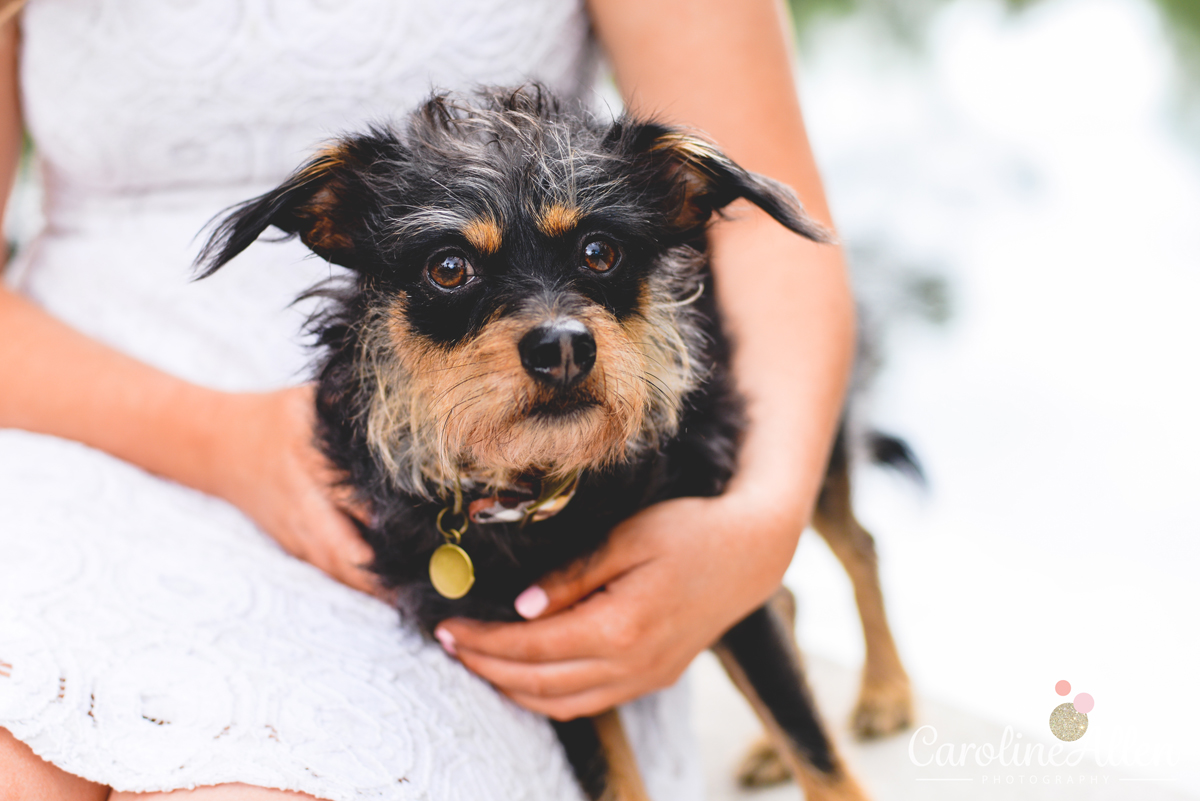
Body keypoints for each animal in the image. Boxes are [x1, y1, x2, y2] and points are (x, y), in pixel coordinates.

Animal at [196, 87, 912, 801]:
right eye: (448, 267)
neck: (543, 485)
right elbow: (613, 775)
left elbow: (810, 742)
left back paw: (886, 692)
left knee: (860, 548)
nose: (563, 347)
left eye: (600, 251)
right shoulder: (545, 658)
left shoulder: (708, 561)